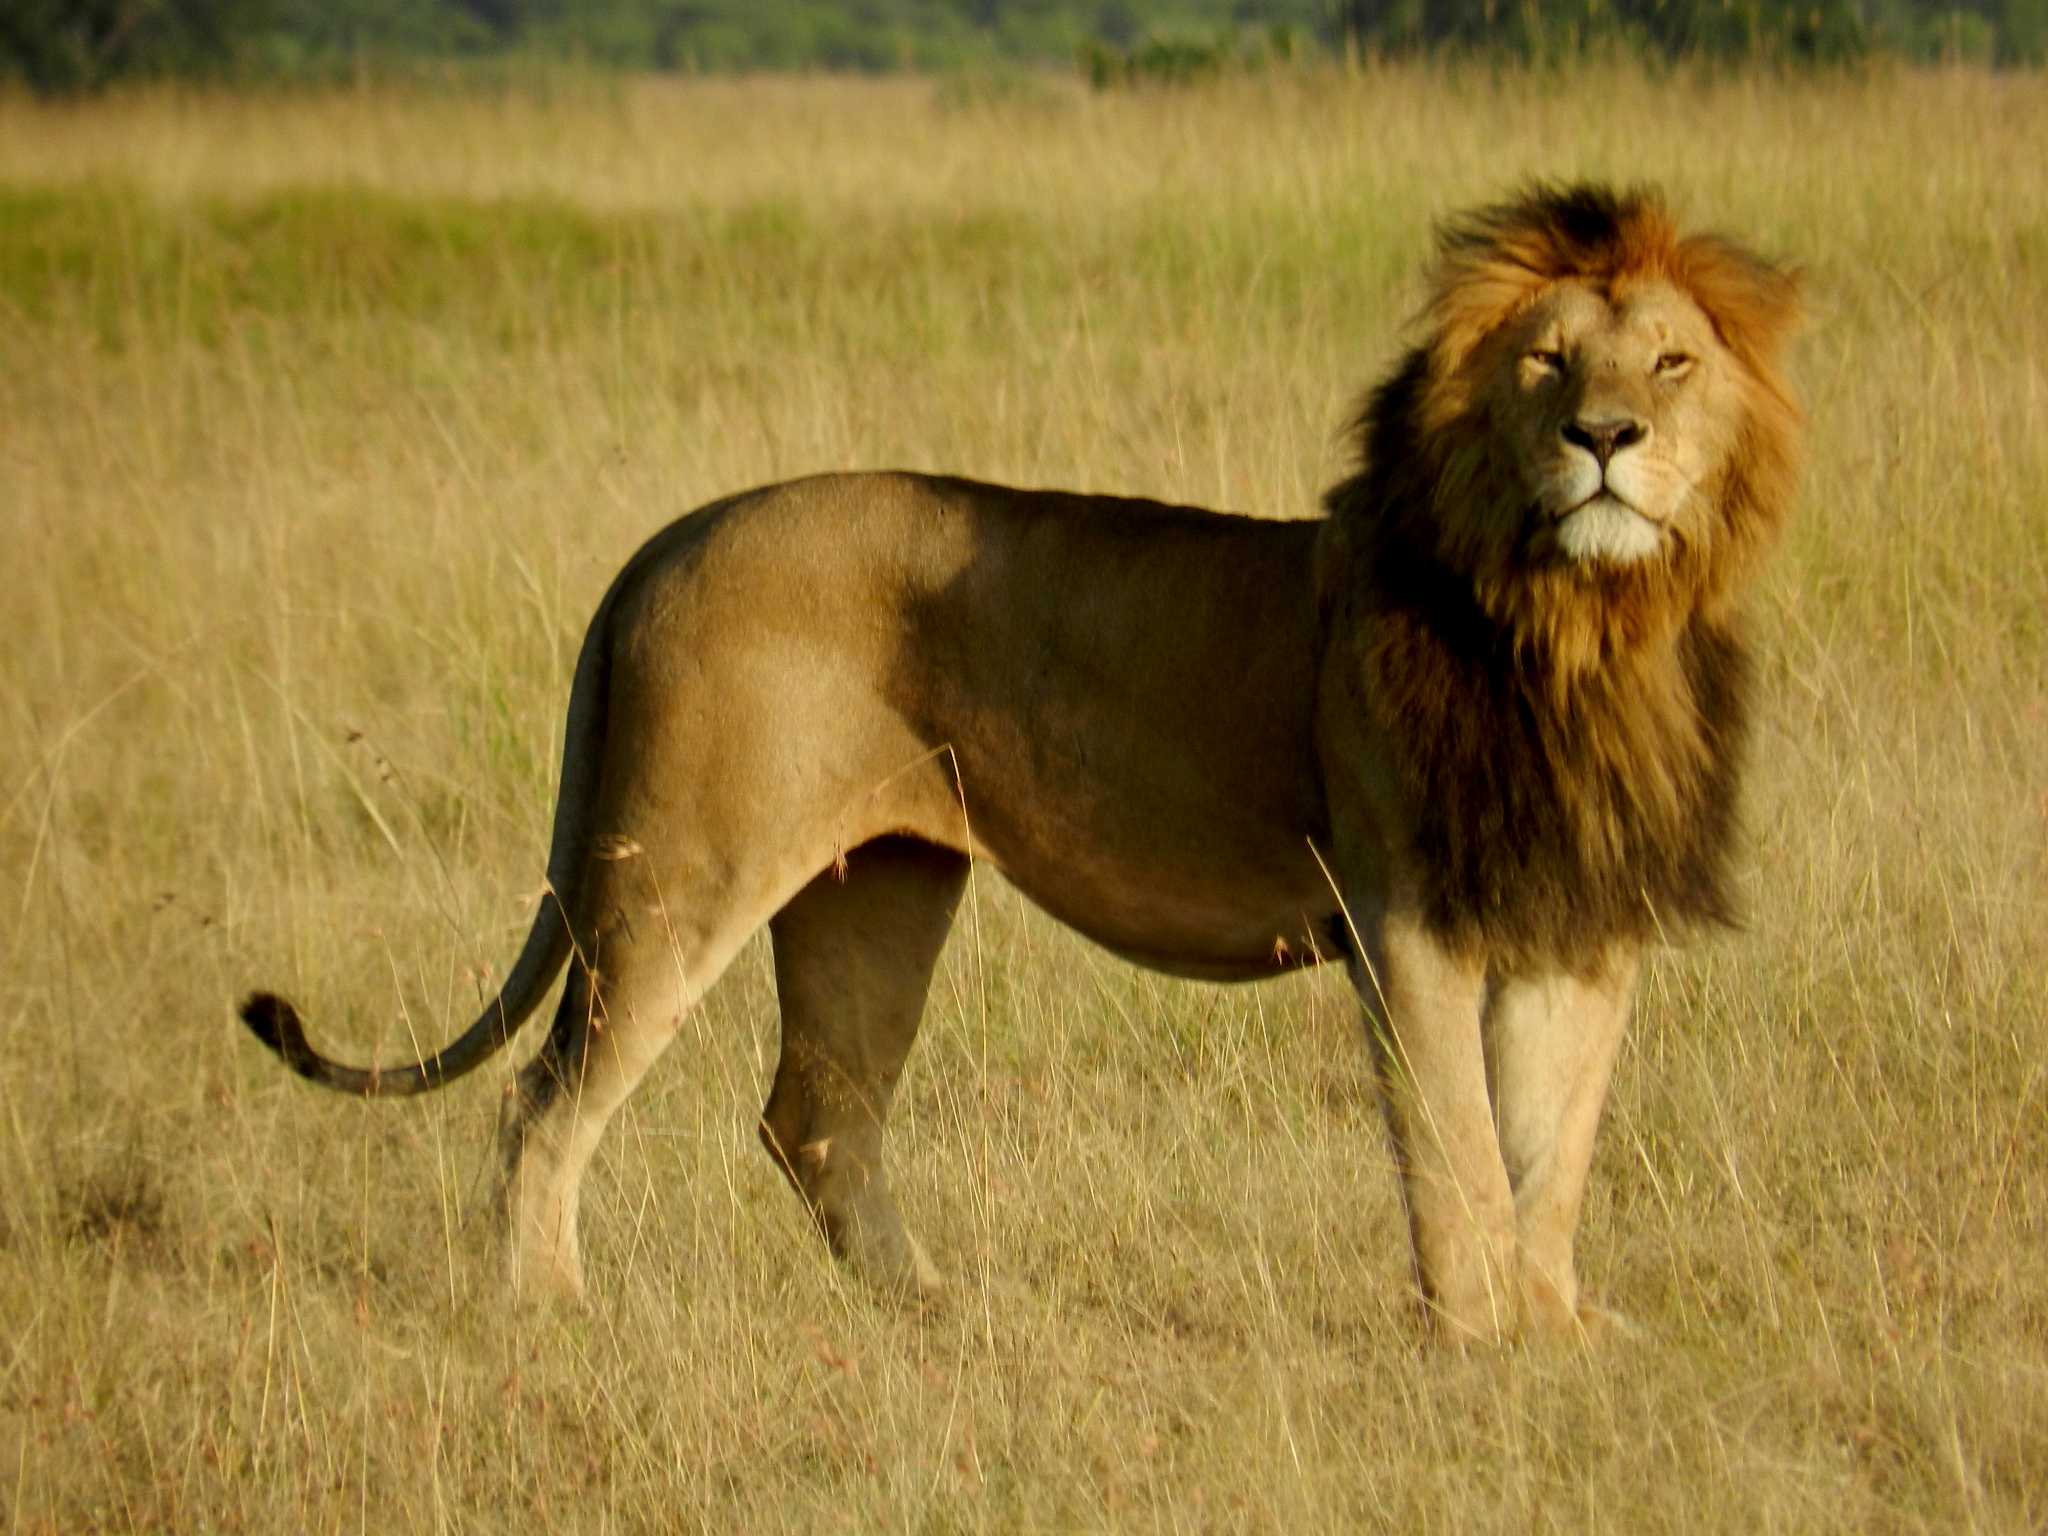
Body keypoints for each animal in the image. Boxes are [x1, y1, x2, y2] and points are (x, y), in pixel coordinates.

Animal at [240, 184, 1801, 1344]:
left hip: (875, 887)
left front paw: (1555, 1334)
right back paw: (551, 1311)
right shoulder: (1400, 913)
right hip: (681, 872)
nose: (1606, 438)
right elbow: (1459, 1149)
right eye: (1546, 362)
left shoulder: (1575, 922)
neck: (1583, 626)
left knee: (813, 1114)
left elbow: (1552, 1151)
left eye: (1670, 362)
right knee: (548, 1095)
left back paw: (935, 1308)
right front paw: (1476, 1343)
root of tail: (674, 536)